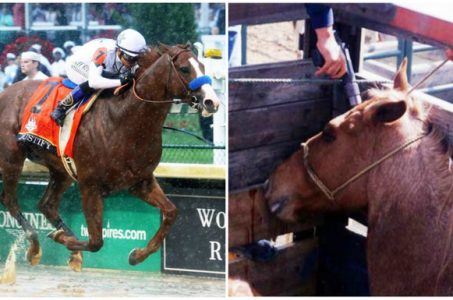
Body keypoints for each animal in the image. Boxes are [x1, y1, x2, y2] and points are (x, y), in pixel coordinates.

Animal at [0, 42, 219, 272]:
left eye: (203, 66)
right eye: (185, 69)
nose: (212, 101)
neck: (124, 120)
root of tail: (5, 92)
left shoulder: (140, 181)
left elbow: (171, 212)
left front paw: (137, 255)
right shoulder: (89, 185)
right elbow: (96, 241)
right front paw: (61, 239)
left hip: (62, 170)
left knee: (47, 204)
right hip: (11, 159)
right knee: (10, 200)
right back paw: (35, 246)